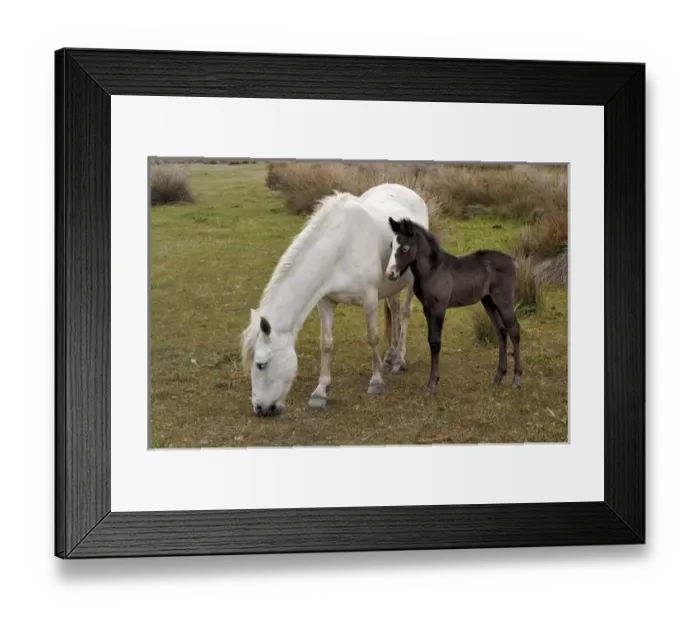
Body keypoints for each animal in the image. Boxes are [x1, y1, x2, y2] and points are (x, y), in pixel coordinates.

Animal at [240, 183, 431, 417]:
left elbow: (372, 337)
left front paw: (376, 381)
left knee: (404, 313)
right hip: (391, 284)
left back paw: (400, 360)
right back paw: (391, 354)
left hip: (411, 282)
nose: (260, 408)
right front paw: (320, 391)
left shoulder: (369, 298)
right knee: (394, 309)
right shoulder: (326, 301)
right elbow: (326, 344)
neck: (341, 246)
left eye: (261, 364)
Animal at [385, 217, 522, 395]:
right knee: (501, 331)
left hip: (503, 300)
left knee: (514, 331)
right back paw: (498, 377)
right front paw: (432, 382)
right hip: (489, 302)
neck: (433, 270)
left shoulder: (438, 309)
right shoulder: (427, 309)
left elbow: (435, 342)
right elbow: (430, 340)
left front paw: (432, 385)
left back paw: (516, 379)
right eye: (391, 245)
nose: (390, 274)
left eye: (405, 247)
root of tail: (512, 261)